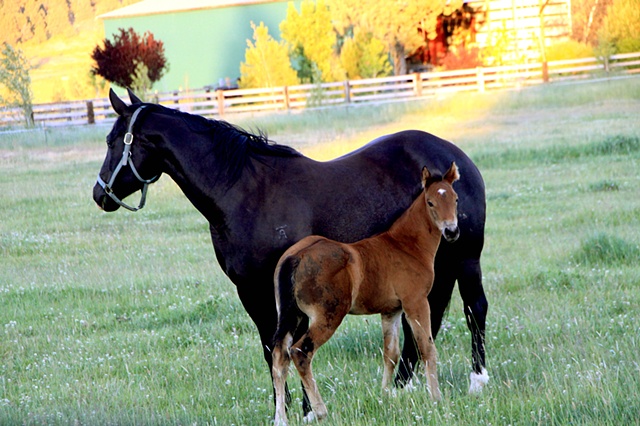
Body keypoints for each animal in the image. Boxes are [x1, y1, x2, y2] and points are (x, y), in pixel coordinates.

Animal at [92, 90, 488, 412]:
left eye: (113, 141)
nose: (100, 195)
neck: (244, 191)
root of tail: (455, 158)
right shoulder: (254, 292)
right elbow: (273, 349)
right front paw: (285, 408)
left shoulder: (268, 291)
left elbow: (283, 346)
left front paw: (305, 409)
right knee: (424, 322)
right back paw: (403, 386)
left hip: (466, 258)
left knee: (474, 309)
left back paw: (478, 380)